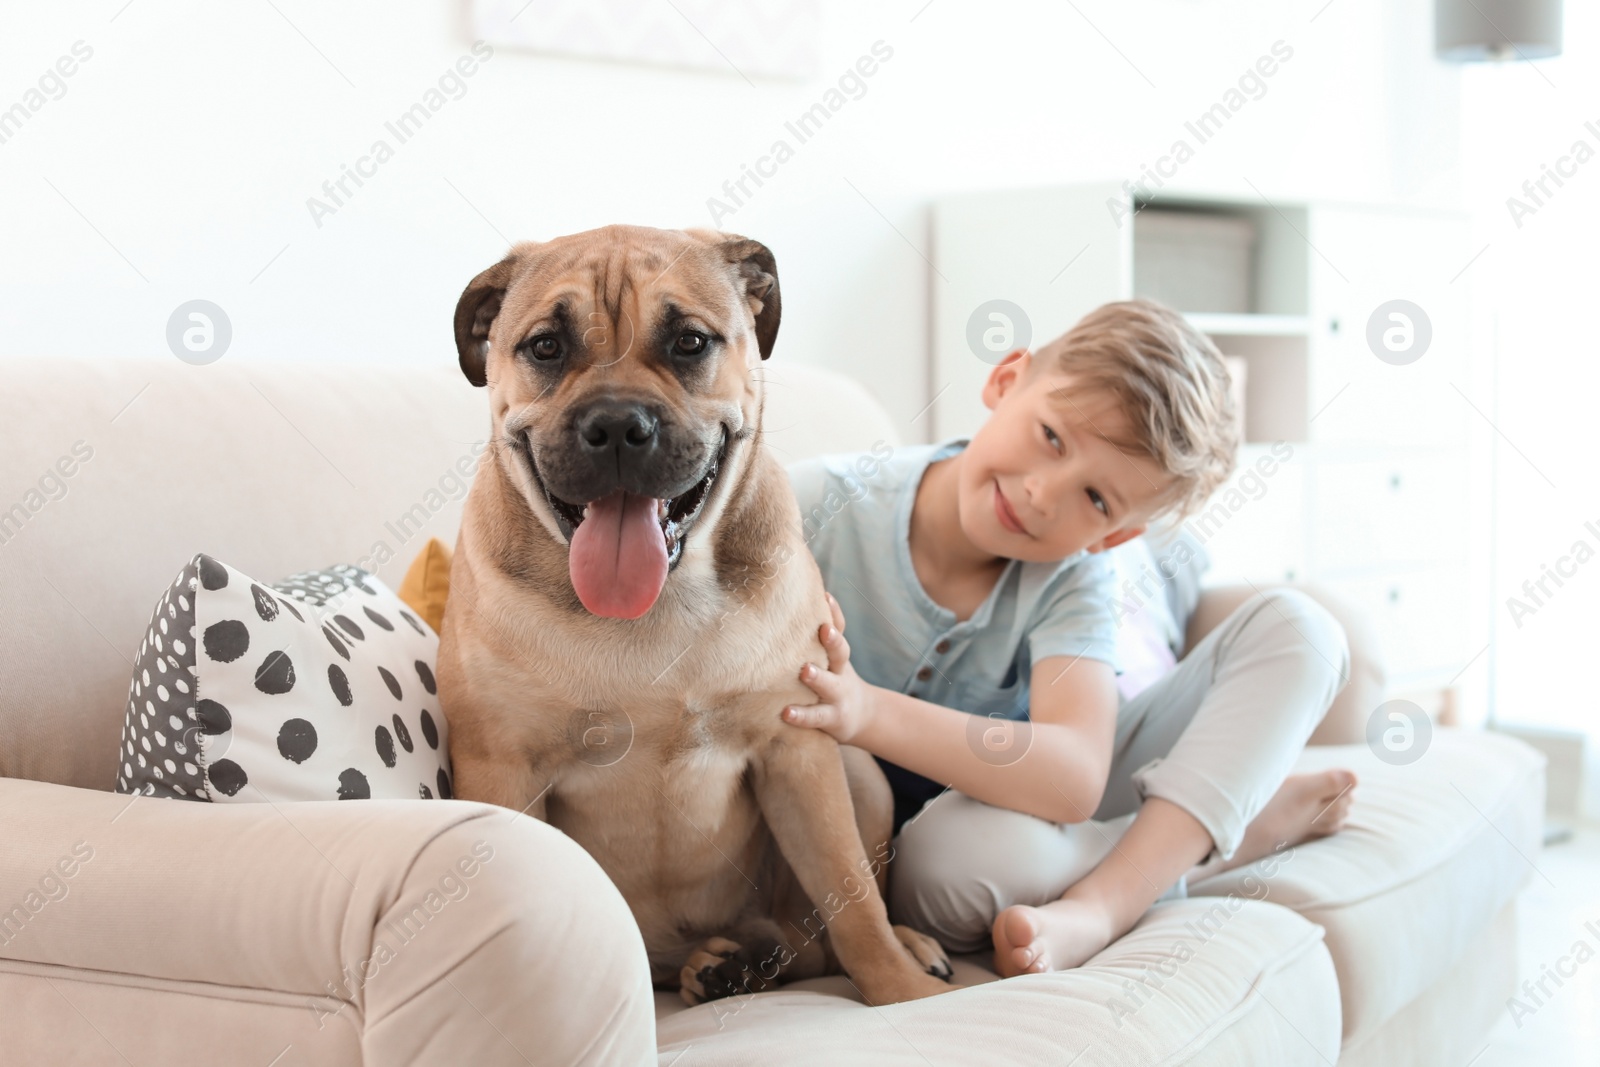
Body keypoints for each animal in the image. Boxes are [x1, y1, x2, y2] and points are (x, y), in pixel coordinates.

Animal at [438, 225, 953, 1011]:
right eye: (547, 347)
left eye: (689, 342)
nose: (618, 423)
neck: (657, 604)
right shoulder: (503, 768)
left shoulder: (798, 751)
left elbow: (853, 897)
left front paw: (898, 988)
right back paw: (717, 966)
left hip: (858, 770)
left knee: (829, 924)